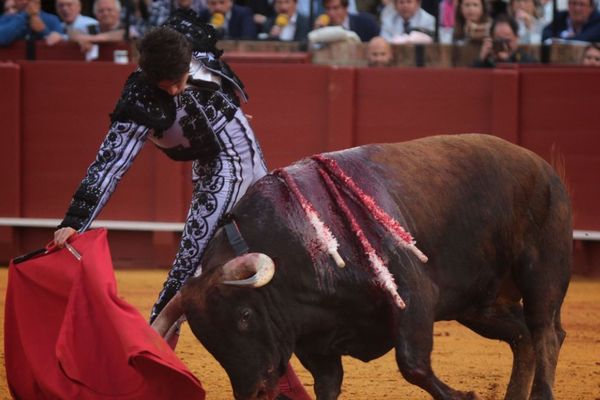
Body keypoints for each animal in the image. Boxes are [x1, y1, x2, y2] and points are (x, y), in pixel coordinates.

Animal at [151, 134, 572, 400]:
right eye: (207, 337)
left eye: (243, 316)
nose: (252, 392)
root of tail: (544, 166)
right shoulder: (314, 339)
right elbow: (328, 385)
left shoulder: (413, 296)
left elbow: (412, 364)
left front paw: (464, 396)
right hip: (478, 305)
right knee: (522, 336)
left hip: (541, 273)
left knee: (545, 333)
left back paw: (542, 394)